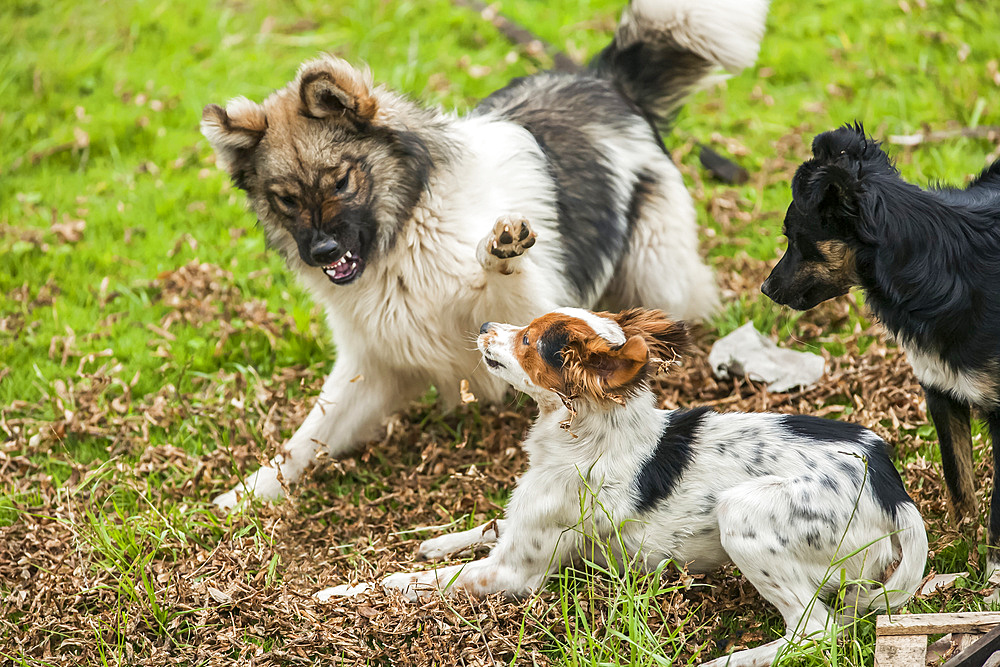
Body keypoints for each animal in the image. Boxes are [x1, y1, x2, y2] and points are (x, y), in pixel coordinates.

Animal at [201, 0, 764, 506]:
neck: (408, 230)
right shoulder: (373, 363)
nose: (322, 251)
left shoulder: (531, 305)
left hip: (655, 267)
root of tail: (604, 80)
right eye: (286, 200)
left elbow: (507, 286)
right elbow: (305, 437)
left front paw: (501, 249)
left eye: (341, 180)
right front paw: (250, 493)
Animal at [324, 310, 924, 667]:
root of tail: (891, 486)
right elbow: (485, 526)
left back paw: (731, 660)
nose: (485, 324)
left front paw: (346, 591)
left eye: (527, 340)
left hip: (743, 513)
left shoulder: (513, 572)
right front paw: (435, 541)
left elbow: (418, 582)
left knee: (815, 629)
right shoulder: (516, 529)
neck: (584, 432)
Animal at [764, 125, 1000, 580]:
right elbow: (958, 479)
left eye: (796, 240)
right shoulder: (940, 389)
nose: (766, 289)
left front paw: (994, 571)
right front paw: (959, 548)